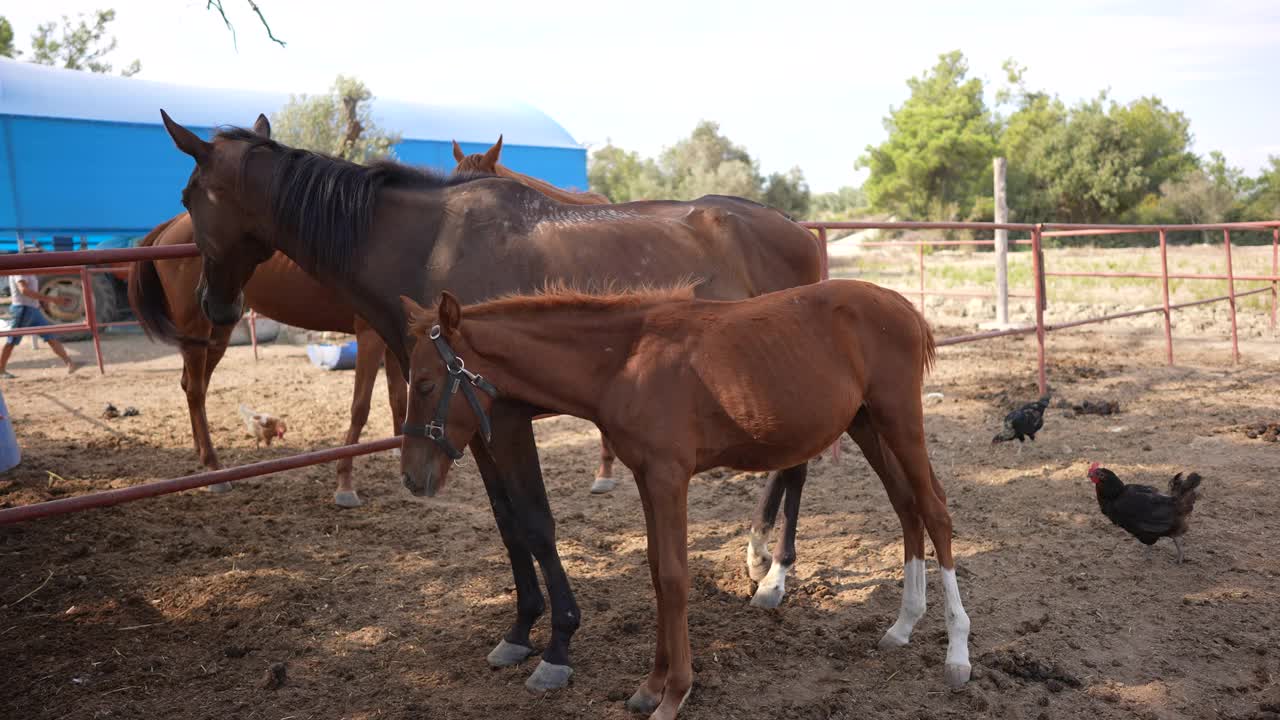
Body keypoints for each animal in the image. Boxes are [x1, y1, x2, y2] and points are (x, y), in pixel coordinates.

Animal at [124, 114, 404, 504]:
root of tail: (168, 229)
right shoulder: (370, 336)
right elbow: (360, 408)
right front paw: (345, 483)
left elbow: (398, 399)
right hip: (197, 328)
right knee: (195, 389)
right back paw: (214, 469)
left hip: (219, 329)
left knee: (193, 385)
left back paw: (201, 454)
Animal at [399, 279, 967, 712]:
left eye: (425, 384)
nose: (411, 476)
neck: (625, 362)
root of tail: (903, 307)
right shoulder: (647, 478)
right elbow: (656, 571)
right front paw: (649, 687)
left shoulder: (670, 478)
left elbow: (674, 579)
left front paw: (674, 694)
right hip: (866, 424)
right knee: (906, 507)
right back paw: (903, 625)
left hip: (899, 418)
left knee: (936, 511)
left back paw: (957, 653)